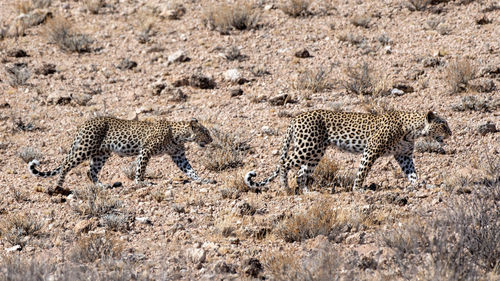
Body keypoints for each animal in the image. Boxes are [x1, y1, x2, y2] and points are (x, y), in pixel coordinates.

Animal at [27, 115, 215, 192]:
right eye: (205, 132)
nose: (212, 140)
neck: (179, 136)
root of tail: (86, 122)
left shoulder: (178, 156)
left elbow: (190, 170)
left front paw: (203, 180)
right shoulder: (146, 150)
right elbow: (140, 169)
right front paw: (141, 183)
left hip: (101, 153)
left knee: (90, 171)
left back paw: (101, 186)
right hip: (86, 147)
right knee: (66, 164)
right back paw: (58, 186)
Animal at [244, 109, 452, 192]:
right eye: (443, 125)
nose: (451, 133)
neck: (412, 131)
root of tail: (295, 118)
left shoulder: (404, 156)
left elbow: (413, 174)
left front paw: (419, 186)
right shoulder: (371, 150)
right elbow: (362, 171)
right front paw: (357, 189)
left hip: (316, 151)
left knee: (301, 173)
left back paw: (307, 192)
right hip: (307, 147)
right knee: (284, 164)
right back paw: (285, 187)